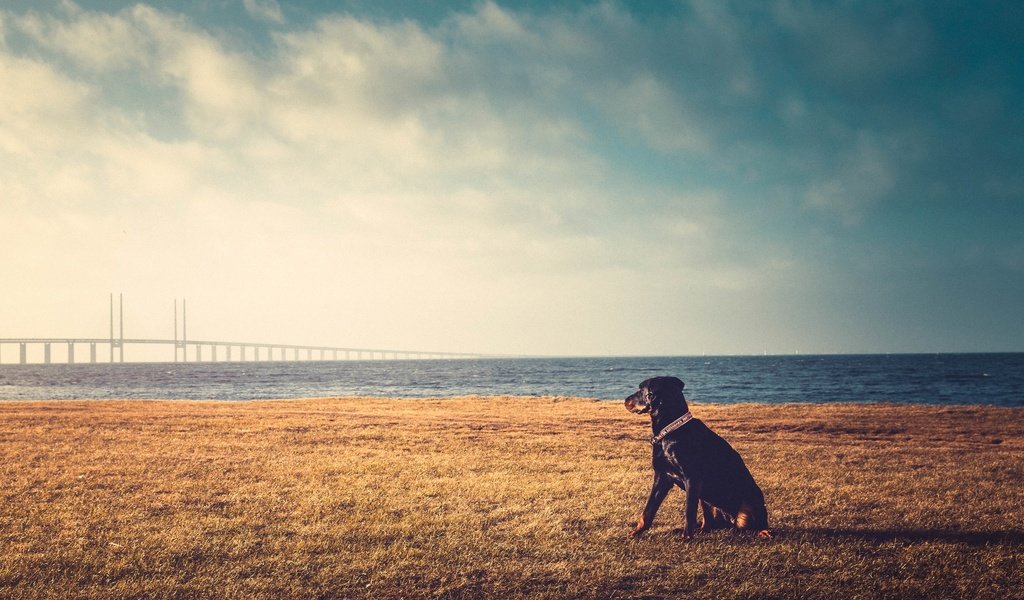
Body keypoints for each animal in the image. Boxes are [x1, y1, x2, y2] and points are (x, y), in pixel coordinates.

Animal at [622, 372, 770, 536]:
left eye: (641, 389)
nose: (625, 400)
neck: (671, 430)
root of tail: (730, 522)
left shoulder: (691, 478)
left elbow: (689, 511)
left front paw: (686, 536)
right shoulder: (662, 477)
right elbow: (648, 510)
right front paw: (636, 533)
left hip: (748, 502)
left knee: (756, 523)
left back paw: (764, 532)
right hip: (706, 497)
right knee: (709, 521)